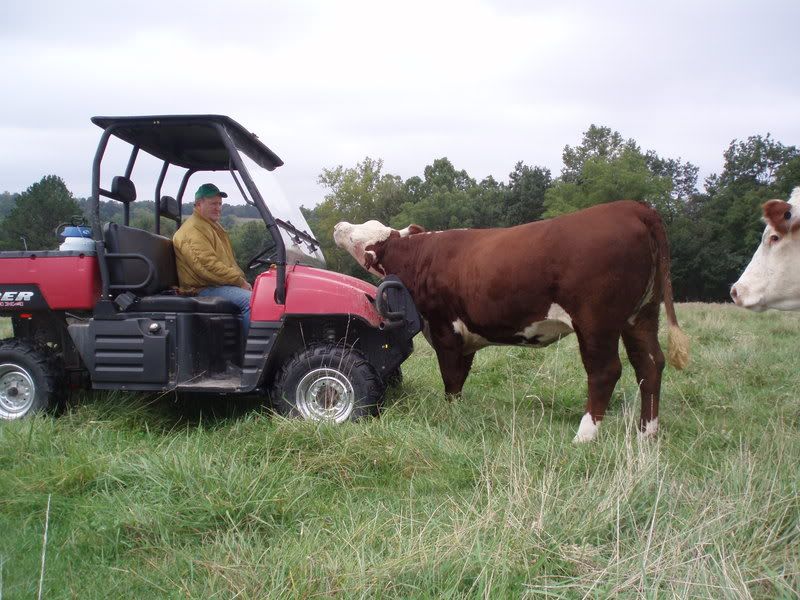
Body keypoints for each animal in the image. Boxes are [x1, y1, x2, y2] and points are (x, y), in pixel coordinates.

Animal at [334, 200, 690, 442]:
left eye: (363, 238)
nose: (339, 225)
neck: (422, 257)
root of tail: (631, 207)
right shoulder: (465, 336)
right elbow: (459, 378)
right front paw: (458, 412)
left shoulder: (444, 329)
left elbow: (450, 378)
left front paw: (448, 414)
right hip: (641, 315)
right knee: (649, 364)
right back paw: (646, 433)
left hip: (596, 320)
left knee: (606, 371)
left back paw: (584, 436)